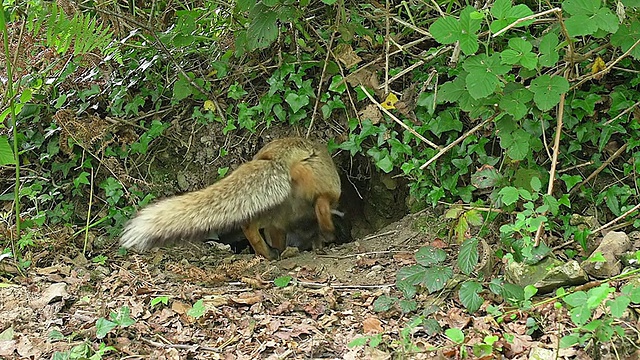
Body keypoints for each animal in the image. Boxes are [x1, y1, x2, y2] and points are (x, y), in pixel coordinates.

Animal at [119, 137, 340, 258]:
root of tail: (276, 154)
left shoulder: (280, 226)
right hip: (328, 191)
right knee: (322, 206)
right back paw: (328, 233)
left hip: (271, 210)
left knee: (249, 227)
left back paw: (267, 254)